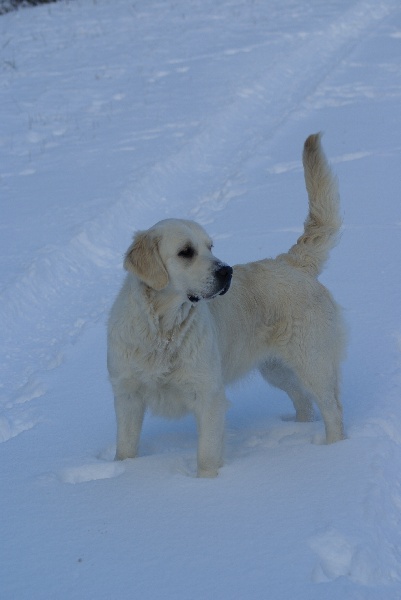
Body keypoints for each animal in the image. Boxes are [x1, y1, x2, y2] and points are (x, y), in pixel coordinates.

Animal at [107, 133, 346, 477]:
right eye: (186, 252)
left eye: (211, 246)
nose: (227, 271)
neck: (163, 330)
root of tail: (292, 262)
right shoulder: (127, 395)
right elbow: (125, 450)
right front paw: (122, 473)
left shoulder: (208, 395)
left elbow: (207, 453)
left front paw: (207, 482)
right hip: (277, 369)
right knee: (303, 400)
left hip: (314, 361)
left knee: (332, 408)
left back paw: (334, 451)